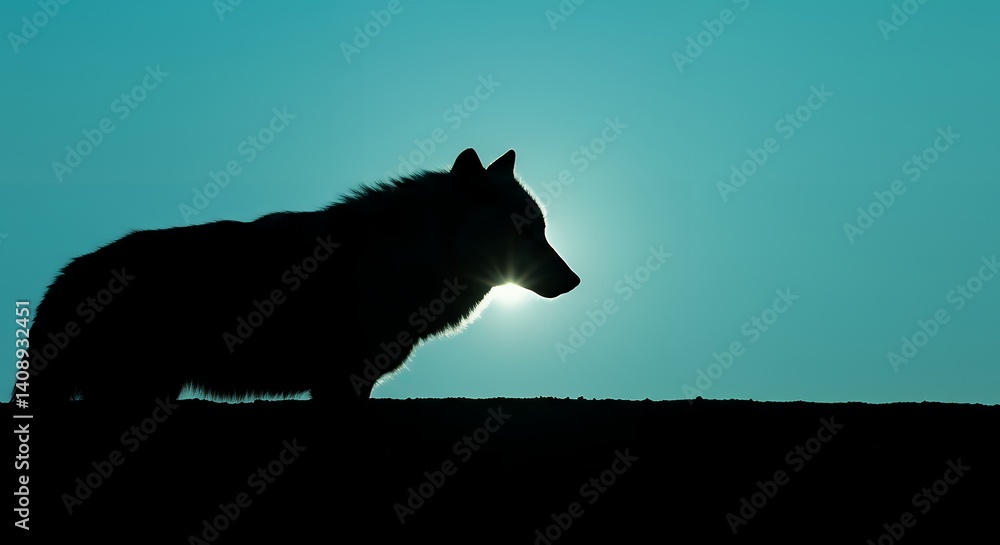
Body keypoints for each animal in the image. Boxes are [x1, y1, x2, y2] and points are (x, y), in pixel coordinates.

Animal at [20, 149, 579, 408]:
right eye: (527, 232)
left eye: (542, 229)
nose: (574, 281)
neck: (408, 259)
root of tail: (64, 280)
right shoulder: (339, 381)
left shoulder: (354, 382)